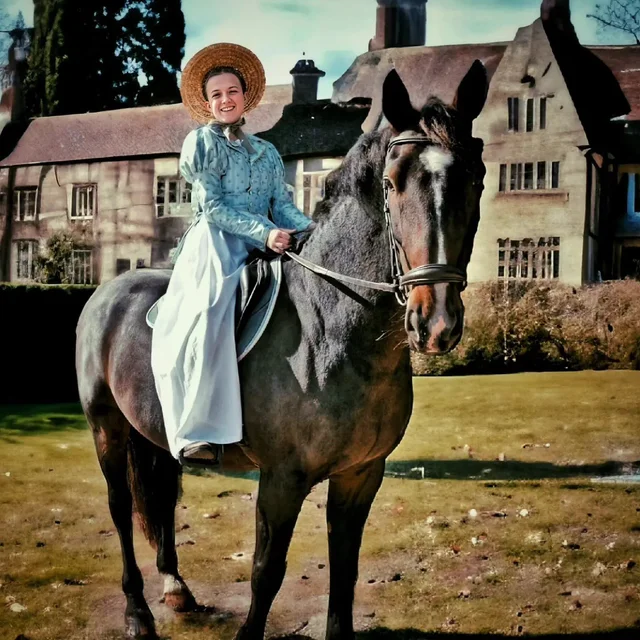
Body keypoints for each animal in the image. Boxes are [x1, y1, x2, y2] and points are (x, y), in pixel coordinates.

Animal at [74, 61, 484, 640]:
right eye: (391, 182)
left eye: (477, 178)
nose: (436, 322)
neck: (333, 330)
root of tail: (108, 289)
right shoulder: (282, 479)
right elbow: (266, 573)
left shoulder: (361, 475)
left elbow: (345, 567)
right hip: (106, 426)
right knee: (119, 507)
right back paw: (138, 614)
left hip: (156, 435)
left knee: (162, 500)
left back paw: (177, 590)